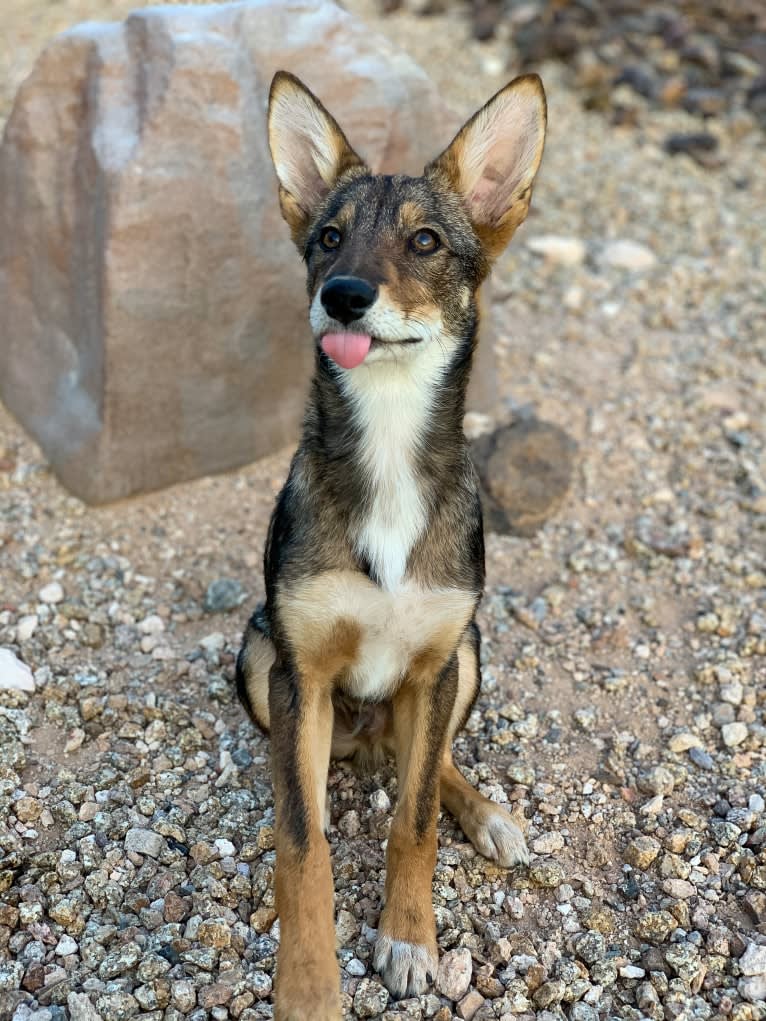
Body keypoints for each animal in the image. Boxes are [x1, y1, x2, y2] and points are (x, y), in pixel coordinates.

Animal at [236, 71, 547, 1021]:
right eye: (329, 236)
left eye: (425, 240)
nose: (342, 293)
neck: (387, 444)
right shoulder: (298, 671)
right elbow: (301, 842)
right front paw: (308, 984)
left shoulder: (439, 661)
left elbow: (412, 821)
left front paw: (411, 939)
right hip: (255, 656)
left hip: (469, 657)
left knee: (432, 760)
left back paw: (484, 811)